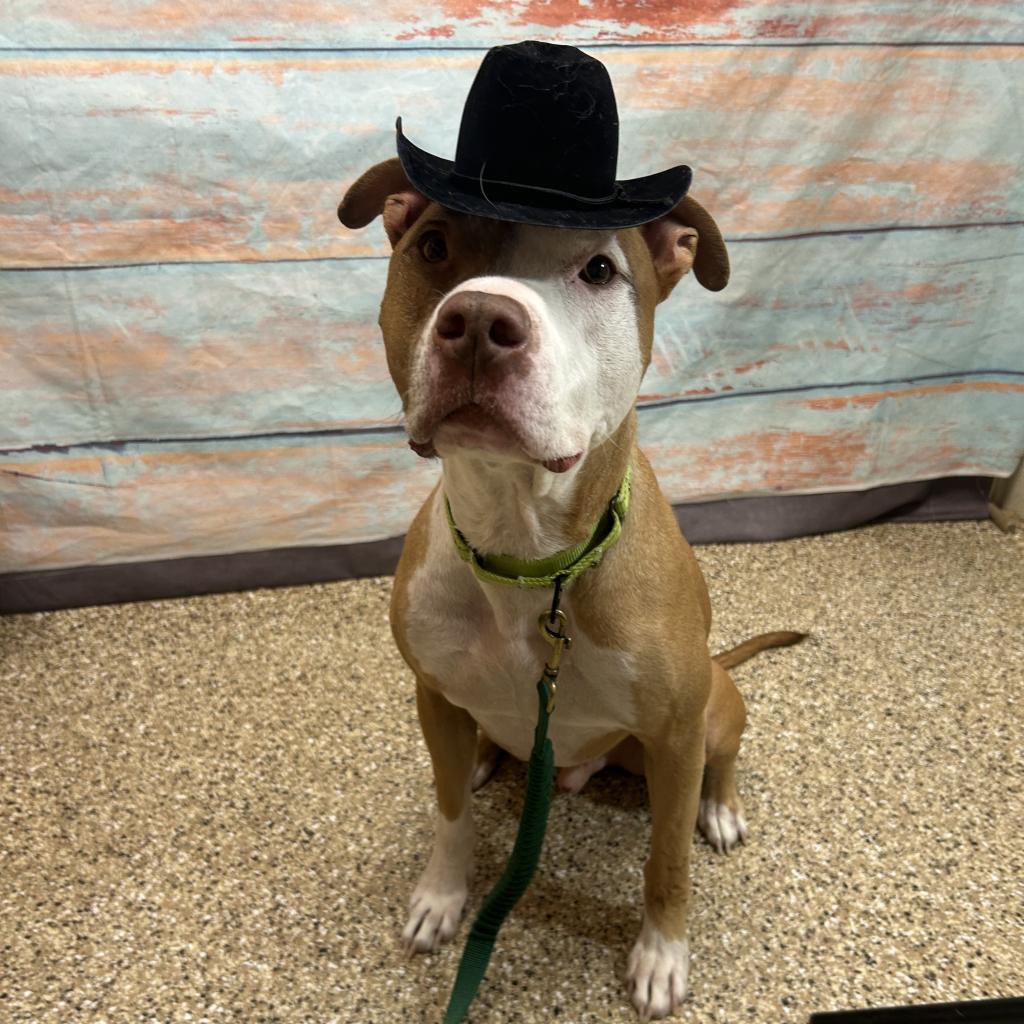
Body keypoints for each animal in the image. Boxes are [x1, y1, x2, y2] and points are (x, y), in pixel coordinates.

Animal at [339, 37, 802, 1015]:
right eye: (432, 246)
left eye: (598, 270)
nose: (480, 320)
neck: (526, 556)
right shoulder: (429, 690)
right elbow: (449, 815)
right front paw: (442, 897)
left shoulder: (675, 734)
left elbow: (665, 863)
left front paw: (662, 954)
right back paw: (487, 756)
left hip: (712, 703)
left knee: (723, 759)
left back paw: (721, 809)